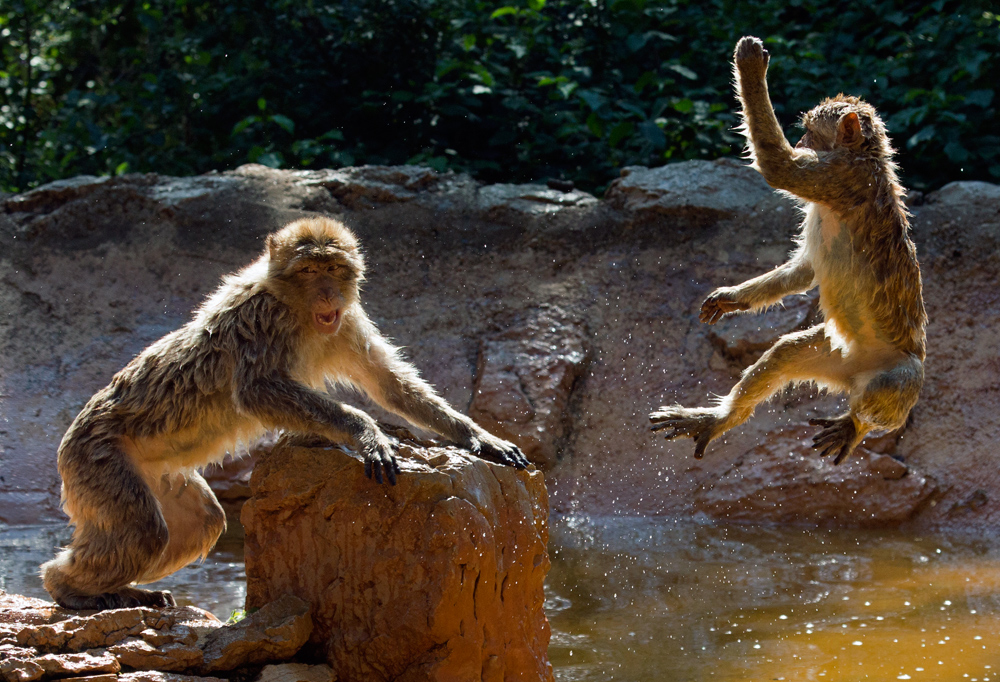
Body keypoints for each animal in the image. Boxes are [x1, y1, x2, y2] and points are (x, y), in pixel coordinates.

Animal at [43, 216, 528, 604]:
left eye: (334, 269)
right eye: (309, 269)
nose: (329, 293)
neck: (294, 307)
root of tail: (71, 438)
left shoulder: (345, 322)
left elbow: (389, 383)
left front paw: (477, 436)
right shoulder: (263, 318)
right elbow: (256, 391)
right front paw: (365, 431)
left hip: (156, 473)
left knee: (201, 522)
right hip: (97, 461)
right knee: (145, 531)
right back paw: (66, 587)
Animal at [652, 35, 924, 462]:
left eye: (810, 131)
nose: (800, 140)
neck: (863, 157)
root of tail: (854, 379)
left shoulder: (839, 177)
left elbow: (778, 165)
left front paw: (750, 65)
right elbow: (805, 270)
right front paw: (732, 297)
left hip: (894, 372)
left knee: (891, 386)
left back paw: (857, 425)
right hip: (838, 355)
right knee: (786, 352)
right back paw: (721, 419)